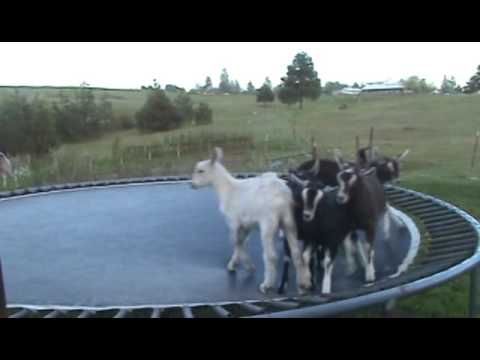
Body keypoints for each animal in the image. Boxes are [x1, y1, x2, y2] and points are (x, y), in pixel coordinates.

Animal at [191, 148, 312, 294]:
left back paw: (267, 284)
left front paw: (247, 266)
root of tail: (283, 195)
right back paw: (303, 284)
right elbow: (241, 242)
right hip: (289, 221)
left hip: (268, 222)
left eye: (200, 170)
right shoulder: (246, 225)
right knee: (296, 253)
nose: (192, 184)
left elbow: (236, 242)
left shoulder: (233, 222)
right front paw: (234, 264)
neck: (227, 189)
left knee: (271, 255)